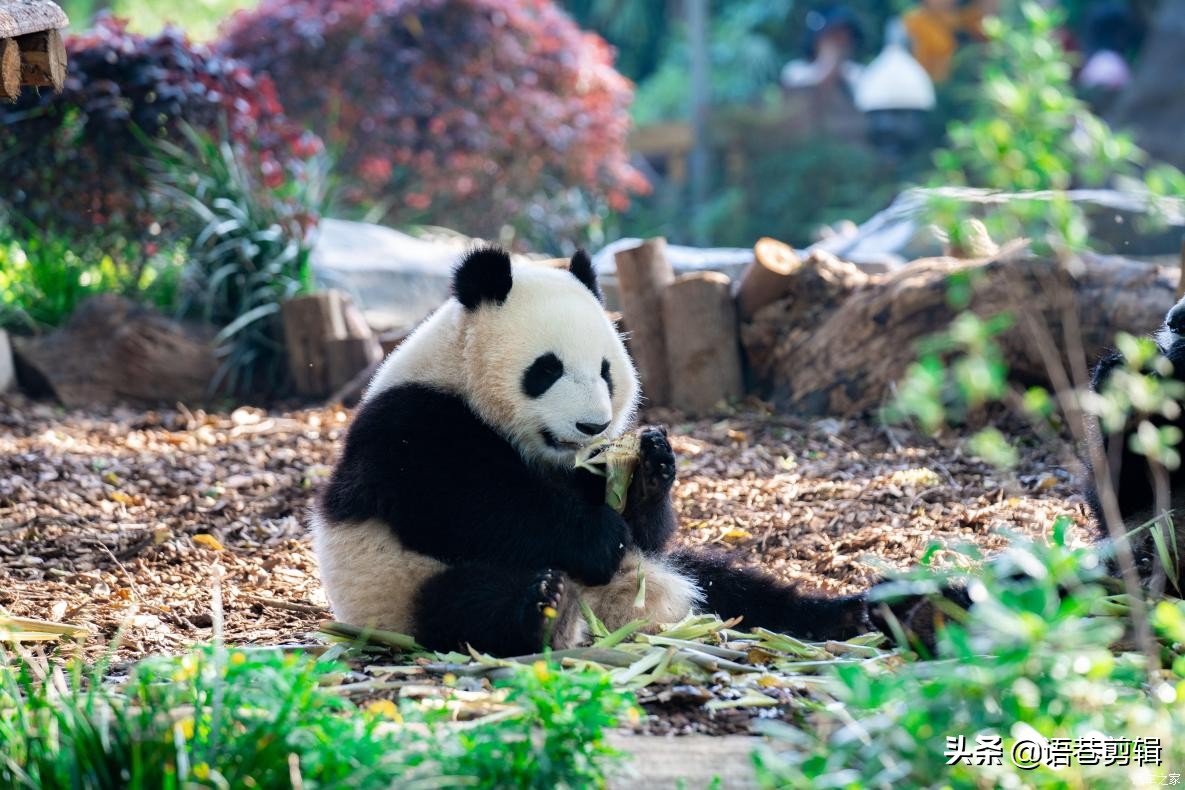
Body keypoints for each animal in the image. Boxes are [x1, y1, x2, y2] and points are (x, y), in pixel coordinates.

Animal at [312, 247, 872, 653]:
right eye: (546, 369)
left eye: (606, 370)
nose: (592, 424)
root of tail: (620, 615)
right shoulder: (413, 422)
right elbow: (466, 503)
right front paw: (601, 539)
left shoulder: (583, 467)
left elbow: (642, 525)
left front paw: (650, 468)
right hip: (397, 586)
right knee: (468, 604)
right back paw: (547, 609)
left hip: (677, 573)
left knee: (732, 585)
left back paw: (850, 615)